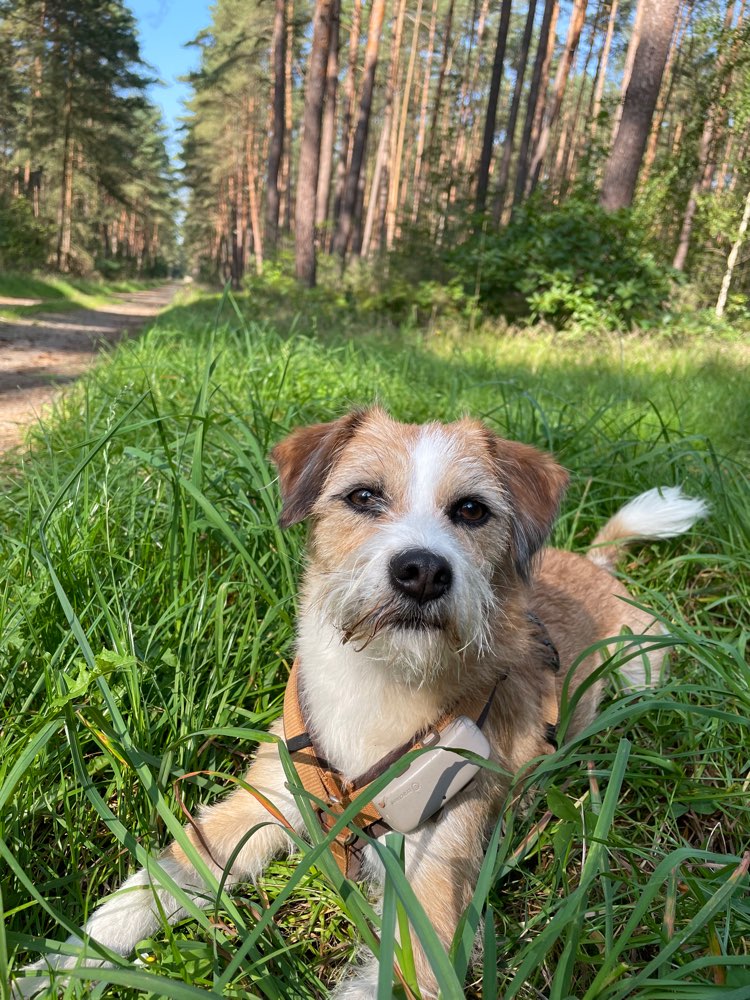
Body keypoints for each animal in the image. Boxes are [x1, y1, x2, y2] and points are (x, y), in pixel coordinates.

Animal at [13, 406, 712, 1000]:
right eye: (363, 497)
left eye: (472, 510)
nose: (423, 571)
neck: (382, 686)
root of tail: (597, 563)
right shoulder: (261, 802)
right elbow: (157, 881)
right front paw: (54, 969)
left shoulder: (434, 879)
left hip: (644, 666)